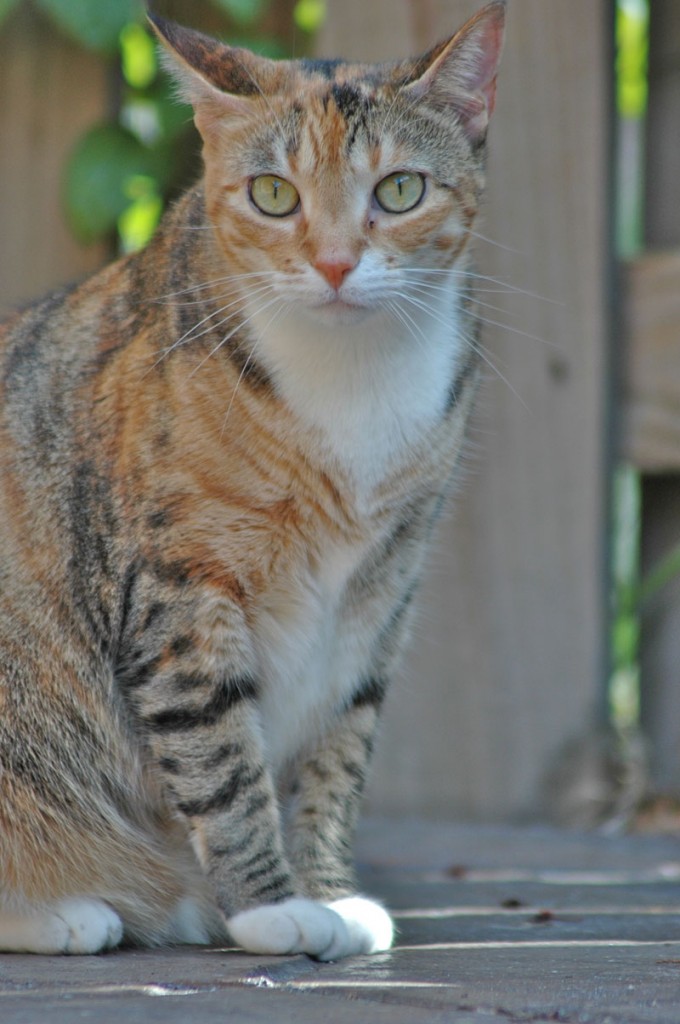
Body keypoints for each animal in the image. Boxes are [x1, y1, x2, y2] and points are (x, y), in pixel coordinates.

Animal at [0, 2, 501, 958]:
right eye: (274, 195)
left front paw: (329, 890)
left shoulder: (380, 594)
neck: (350, 385)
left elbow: (340, 749)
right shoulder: (180, 586)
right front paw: (272, 905)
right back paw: (70, 908)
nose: (336, 263)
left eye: (400, 191)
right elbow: (221, 757)